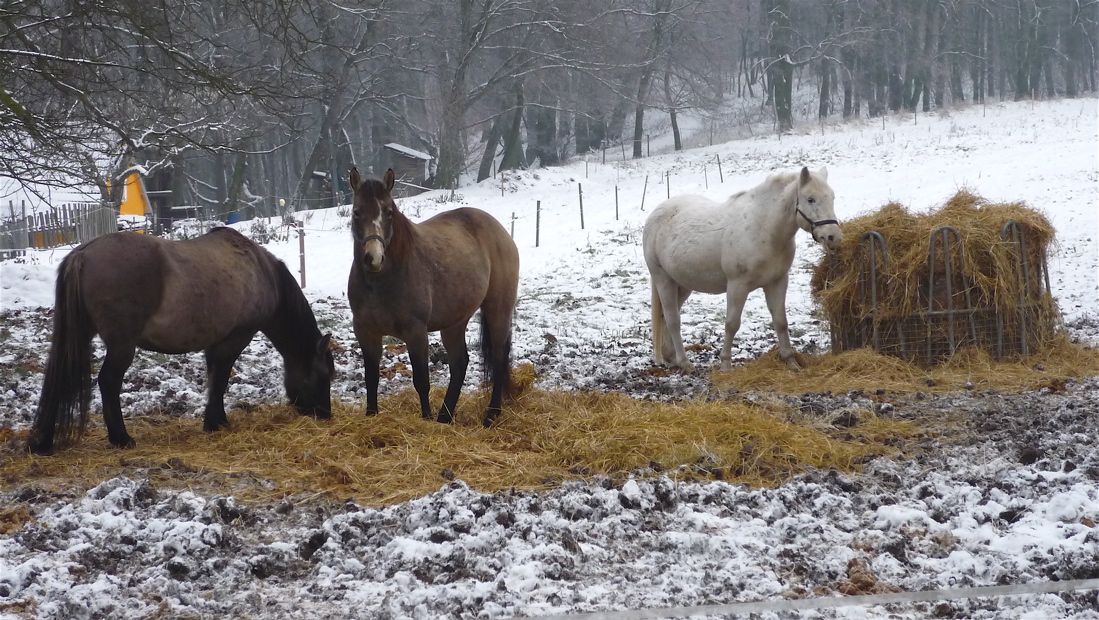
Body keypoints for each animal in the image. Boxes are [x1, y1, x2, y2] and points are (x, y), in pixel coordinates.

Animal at [27, 227, 331, 455]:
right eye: (324, 374)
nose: (325, 415)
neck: (260, 272)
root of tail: (83, 254)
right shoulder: (235, 338)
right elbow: (221, 380)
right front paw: (216, 423)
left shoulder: (214, 342)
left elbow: (214, 380)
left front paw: (216, 420)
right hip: (121, 345)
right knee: (108, 383)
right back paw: (121, 438)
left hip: (80, 335)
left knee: (61, 378)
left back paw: (42, 443)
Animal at [349, 165, 520, 426]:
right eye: (357, 212)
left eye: (388, 212)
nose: (374, 258)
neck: (381, 282)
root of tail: (499, 230)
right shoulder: (365, 332)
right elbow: (371, 379)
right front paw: (371, 417)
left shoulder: (416, 332)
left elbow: (421, 381)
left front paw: (426, 420)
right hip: (454, 322)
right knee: (460, 363)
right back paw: (444, 417)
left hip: (498, 310)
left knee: (499, 359)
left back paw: (491, 415)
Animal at [641, 164, 844, 373]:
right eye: (811, 199)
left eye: (832, 197)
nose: (833, 237)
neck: (764, 228)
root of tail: (656, 214)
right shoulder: (737, 286)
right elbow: (732, 324)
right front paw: (725, 364)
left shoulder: (777, 282)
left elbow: (780, 321)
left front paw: (791, 361)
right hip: (663, 279)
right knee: (673, 318)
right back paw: (684, 362)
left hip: (682, 284)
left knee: (666, 315)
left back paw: (671, 356)